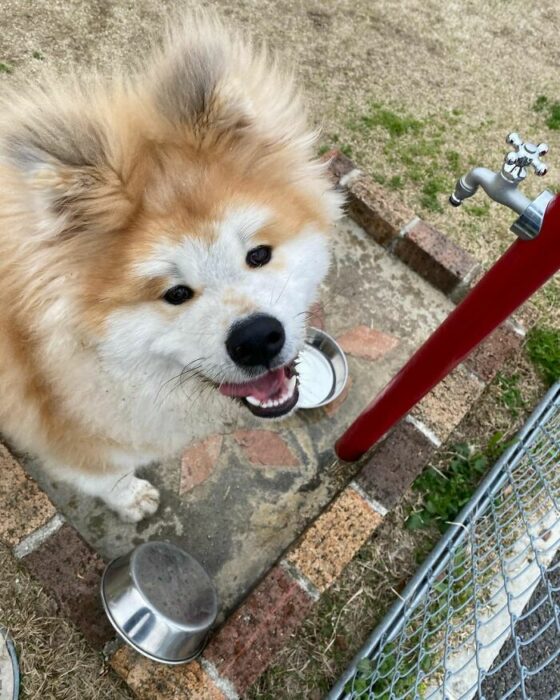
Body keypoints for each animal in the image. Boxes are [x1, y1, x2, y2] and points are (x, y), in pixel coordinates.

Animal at [0, 10, 342, 524]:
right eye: (175, 293)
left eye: (258, 255)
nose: (257, 338)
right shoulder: (74, 438)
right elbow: (108, 476)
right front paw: (131, 498)